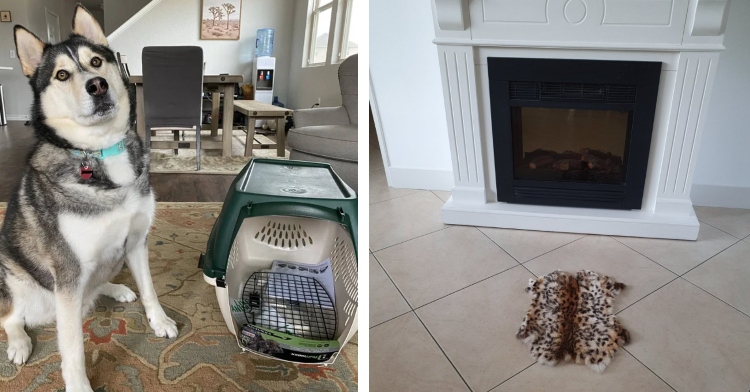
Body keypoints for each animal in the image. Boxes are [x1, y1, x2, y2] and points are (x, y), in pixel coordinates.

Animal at [1, 6, 178, 392]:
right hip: (16, 279)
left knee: (95, 285)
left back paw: (115, 288)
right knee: (10, 317)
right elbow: (72, 346)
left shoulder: (137, 241)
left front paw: (159, 321)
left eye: (96, 61)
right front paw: (79, 385)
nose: (97, 85)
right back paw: (19, 343)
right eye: (61, 74)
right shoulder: (68, 273)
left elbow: (150, 289)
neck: (101, 150)